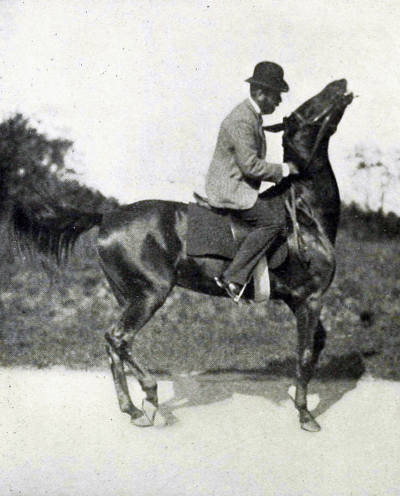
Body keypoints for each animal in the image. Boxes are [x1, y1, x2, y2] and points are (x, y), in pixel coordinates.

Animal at [10, 79, 353, 431]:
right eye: (302, 112)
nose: (339, 84)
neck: (305, 212)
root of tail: (108, 216)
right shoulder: (310, 298)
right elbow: (306, 355)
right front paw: (305, 414)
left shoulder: (299, 300)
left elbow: (317, 344)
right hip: (151, 293)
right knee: (117, 338)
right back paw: (148, 394)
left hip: (128, 295)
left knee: (114, 346)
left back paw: (133, 407)